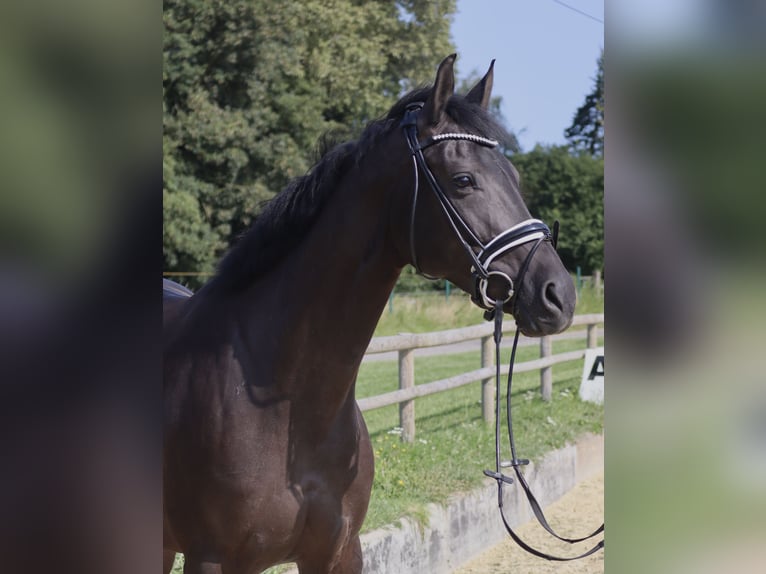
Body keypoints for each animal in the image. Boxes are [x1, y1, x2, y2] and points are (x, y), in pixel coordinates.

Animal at [166, 55, 576, 574]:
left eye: (516, 179)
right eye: (464, 180)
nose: (558, 294)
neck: (287, 408)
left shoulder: (339, 551)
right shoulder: (211, 558)